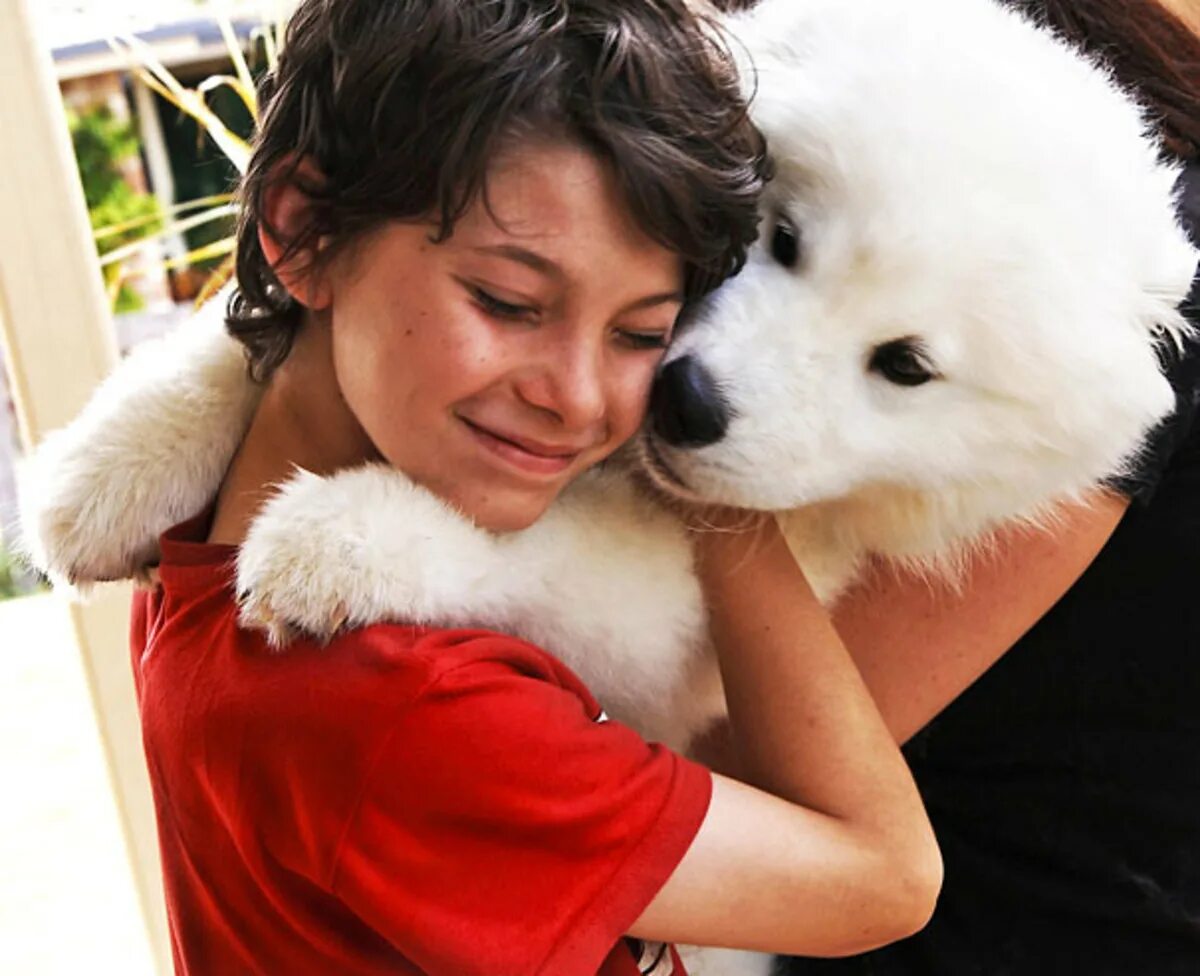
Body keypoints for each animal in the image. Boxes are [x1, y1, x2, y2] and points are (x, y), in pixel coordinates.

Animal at [18, 1, 1200, 965]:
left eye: (905, 365)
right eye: (784, 238)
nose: (687, 404)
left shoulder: (693, 627)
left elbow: (540, 545)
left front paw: (335, 538)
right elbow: (228, 353)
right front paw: (101, 468)